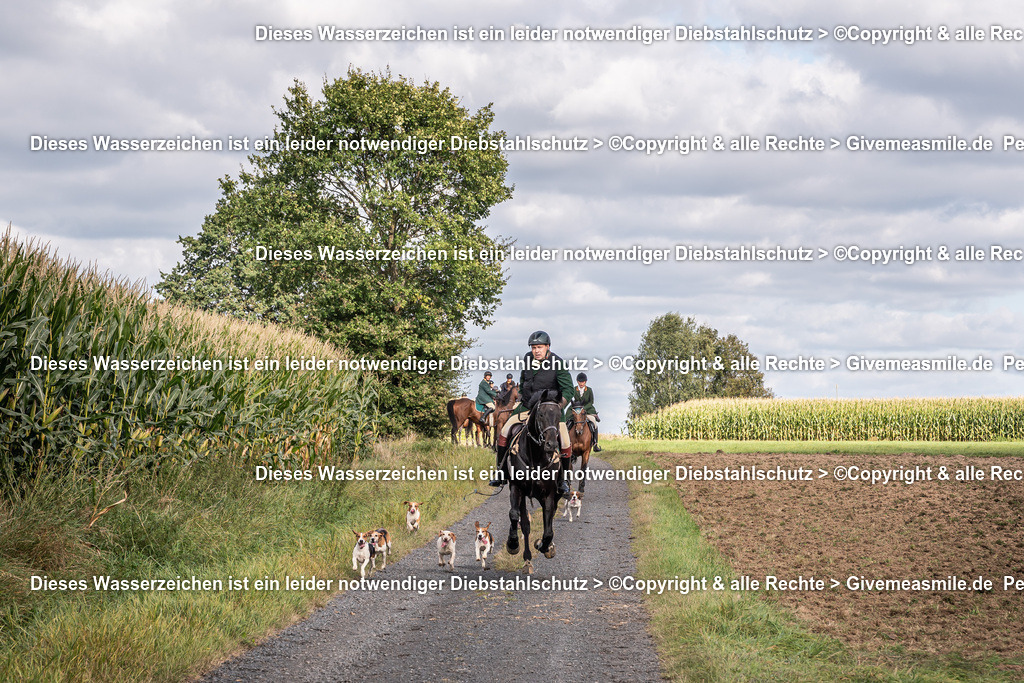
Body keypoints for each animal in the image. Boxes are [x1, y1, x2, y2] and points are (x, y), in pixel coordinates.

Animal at [501, 389, 561, 577]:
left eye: (559, 415)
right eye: (541, 414)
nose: (551, 444)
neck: (536, 455)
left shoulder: (549, 494)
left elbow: (548, 530)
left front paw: (544, 545)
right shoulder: (517, 488)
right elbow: (515, 516)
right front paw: (513, 544)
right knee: (523, 523)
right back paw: (526, 559)